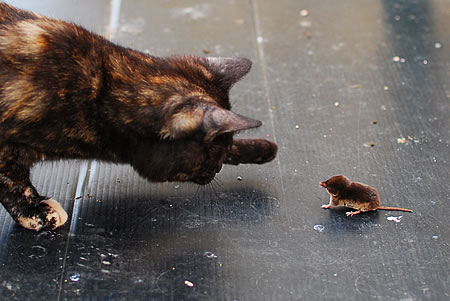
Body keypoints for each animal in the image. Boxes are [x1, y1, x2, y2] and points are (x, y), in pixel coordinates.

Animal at [0, 2, 276, 230]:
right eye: (213, 157)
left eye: (221, 152)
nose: (216, 170)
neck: (102, 89)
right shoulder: (7, 149)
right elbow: (13, 183)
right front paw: (36, 212)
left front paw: (263, 148)